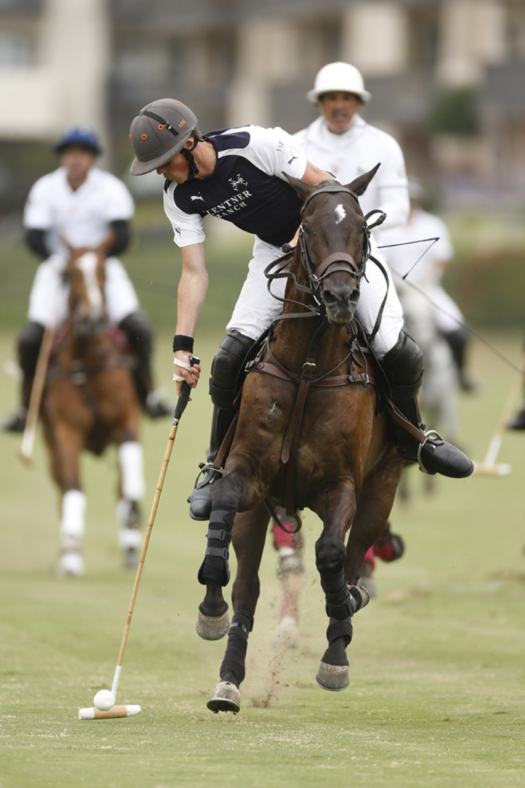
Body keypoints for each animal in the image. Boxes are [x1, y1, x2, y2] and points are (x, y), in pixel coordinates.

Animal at [42, 237, 144, 576]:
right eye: (70, 273)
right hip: (51, 448)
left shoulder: (127, 419)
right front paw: (72, 556)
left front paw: (134, 514)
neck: (88, 359)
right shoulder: (66, 432)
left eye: (103, 272)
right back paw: (68, 550)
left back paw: (131, 547)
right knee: (62, 491)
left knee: (121, 487)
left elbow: (129, 478)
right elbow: (74, 488)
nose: (92, 319)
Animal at [194, 168, 404, 716]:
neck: (309, 365)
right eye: (306, 228)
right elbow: (227, 503)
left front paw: (339, 630)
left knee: (351, 561)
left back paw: (341, 634)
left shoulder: (343, 485)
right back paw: (227, 677)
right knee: (247, 588)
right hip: (261, 510)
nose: (341, 297)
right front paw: (211, 599)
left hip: (383, 488)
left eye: (362, 228)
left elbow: (331, 554)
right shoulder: (247, 474)